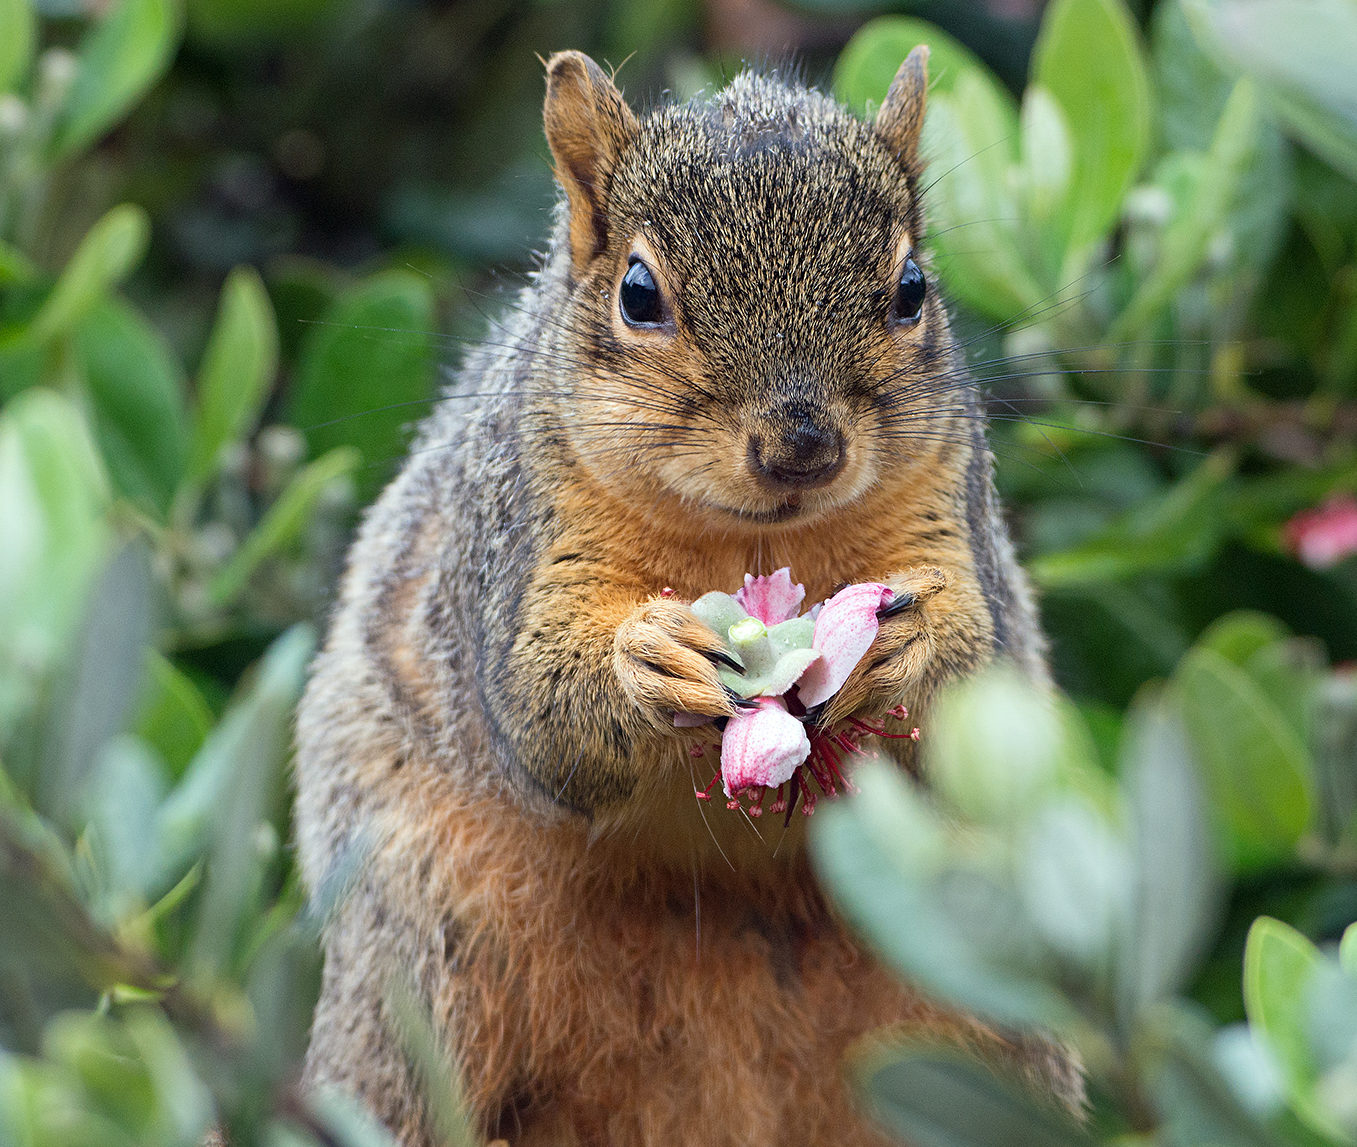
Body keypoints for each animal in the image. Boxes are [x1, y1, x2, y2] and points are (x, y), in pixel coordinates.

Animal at [291, 46, 1074, 1145]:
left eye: (911, 288)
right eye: (637, 293)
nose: (801, 444)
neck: (751, 536)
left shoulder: (950, 511)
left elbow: (982, 676)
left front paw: (906, 651)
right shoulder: (520, 539)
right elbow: (539, 715)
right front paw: (645, 661)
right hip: (417, 961)